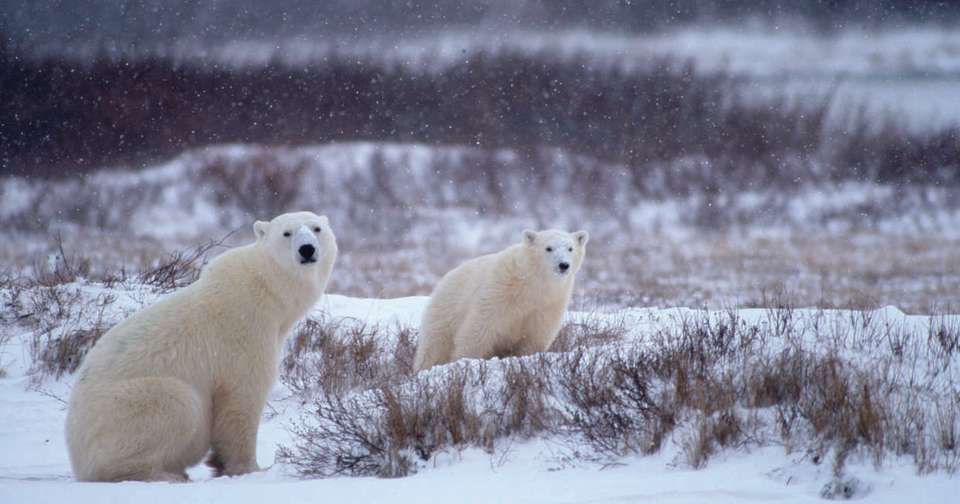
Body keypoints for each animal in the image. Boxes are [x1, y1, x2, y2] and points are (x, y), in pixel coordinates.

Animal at [65, 211, 337, 482]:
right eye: (286, 233)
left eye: (317, 228)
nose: (307, 249)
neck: (269, 290)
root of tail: (76, 452)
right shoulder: (244, 329)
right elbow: (242, 396)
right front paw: (249, 468)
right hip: (124, 409)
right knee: (179, 403)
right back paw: (165, 474)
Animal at [414, 228, 588, 372]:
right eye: (548, 248)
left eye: (570, 248)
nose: (563, 265)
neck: (531, 285)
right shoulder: (499, 291)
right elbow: (478, 329)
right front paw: (465, 361)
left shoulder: (548, 303)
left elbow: (535, 336)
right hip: (446, 312)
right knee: (434, 347)